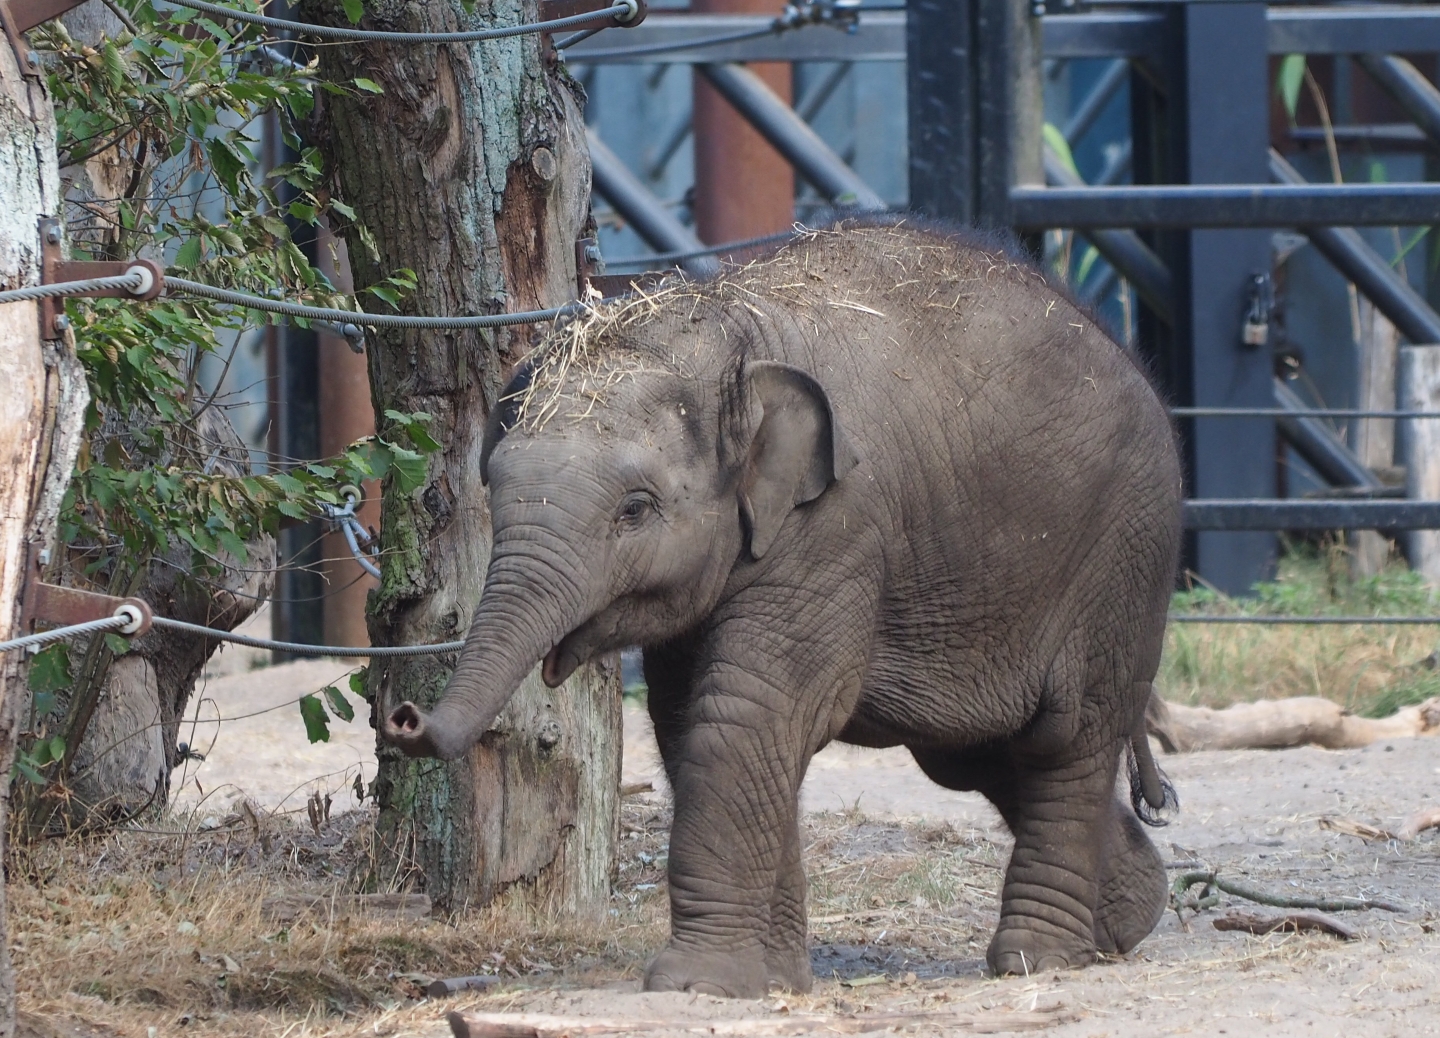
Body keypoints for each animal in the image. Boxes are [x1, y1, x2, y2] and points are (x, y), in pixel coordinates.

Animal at [384, 219, 1182, 997]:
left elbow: (747, 711)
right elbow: (689, 720)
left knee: (1065, 740)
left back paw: (1035, 960)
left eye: (634, 510)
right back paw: (1128, 919)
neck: (730, 327)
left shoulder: (836, 527)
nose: (403, 717)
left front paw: (697, 985)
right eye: (491, 486)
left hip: (1123, 559)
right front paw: (773, 983)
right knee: (976, 754)